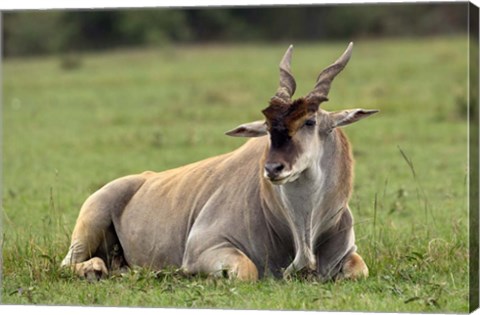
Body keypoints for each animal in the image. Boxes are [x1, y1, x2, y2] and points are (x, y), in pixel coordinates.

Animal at [61, 42, 376, 282]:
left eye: (310, 122)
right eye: (267, 127)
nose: (273, 169)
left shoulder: (349, 257)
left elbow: (359, 269)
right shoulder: (204, 249)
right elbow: (247, 271)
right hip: (89, 225)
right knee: (69, 264)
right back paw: (97, 269)